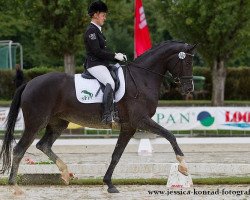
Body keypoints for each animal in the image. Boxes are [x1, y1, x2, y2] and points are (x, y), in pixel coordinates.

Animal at [0, 41, 195, 194]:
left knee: (43, 145)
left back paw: (65, 173)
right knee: (20, 149)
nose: (189, 89)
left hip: (58, 123)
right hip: (36, 123)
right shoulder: (140, 120)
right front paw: (184, 166)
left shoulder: (128, 126)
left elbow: (116, 154)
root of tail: (29, 83)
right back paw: (15, 187)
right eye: (186, 62)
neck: (142, 78)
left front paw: (109, 184)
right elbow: (170, 135)